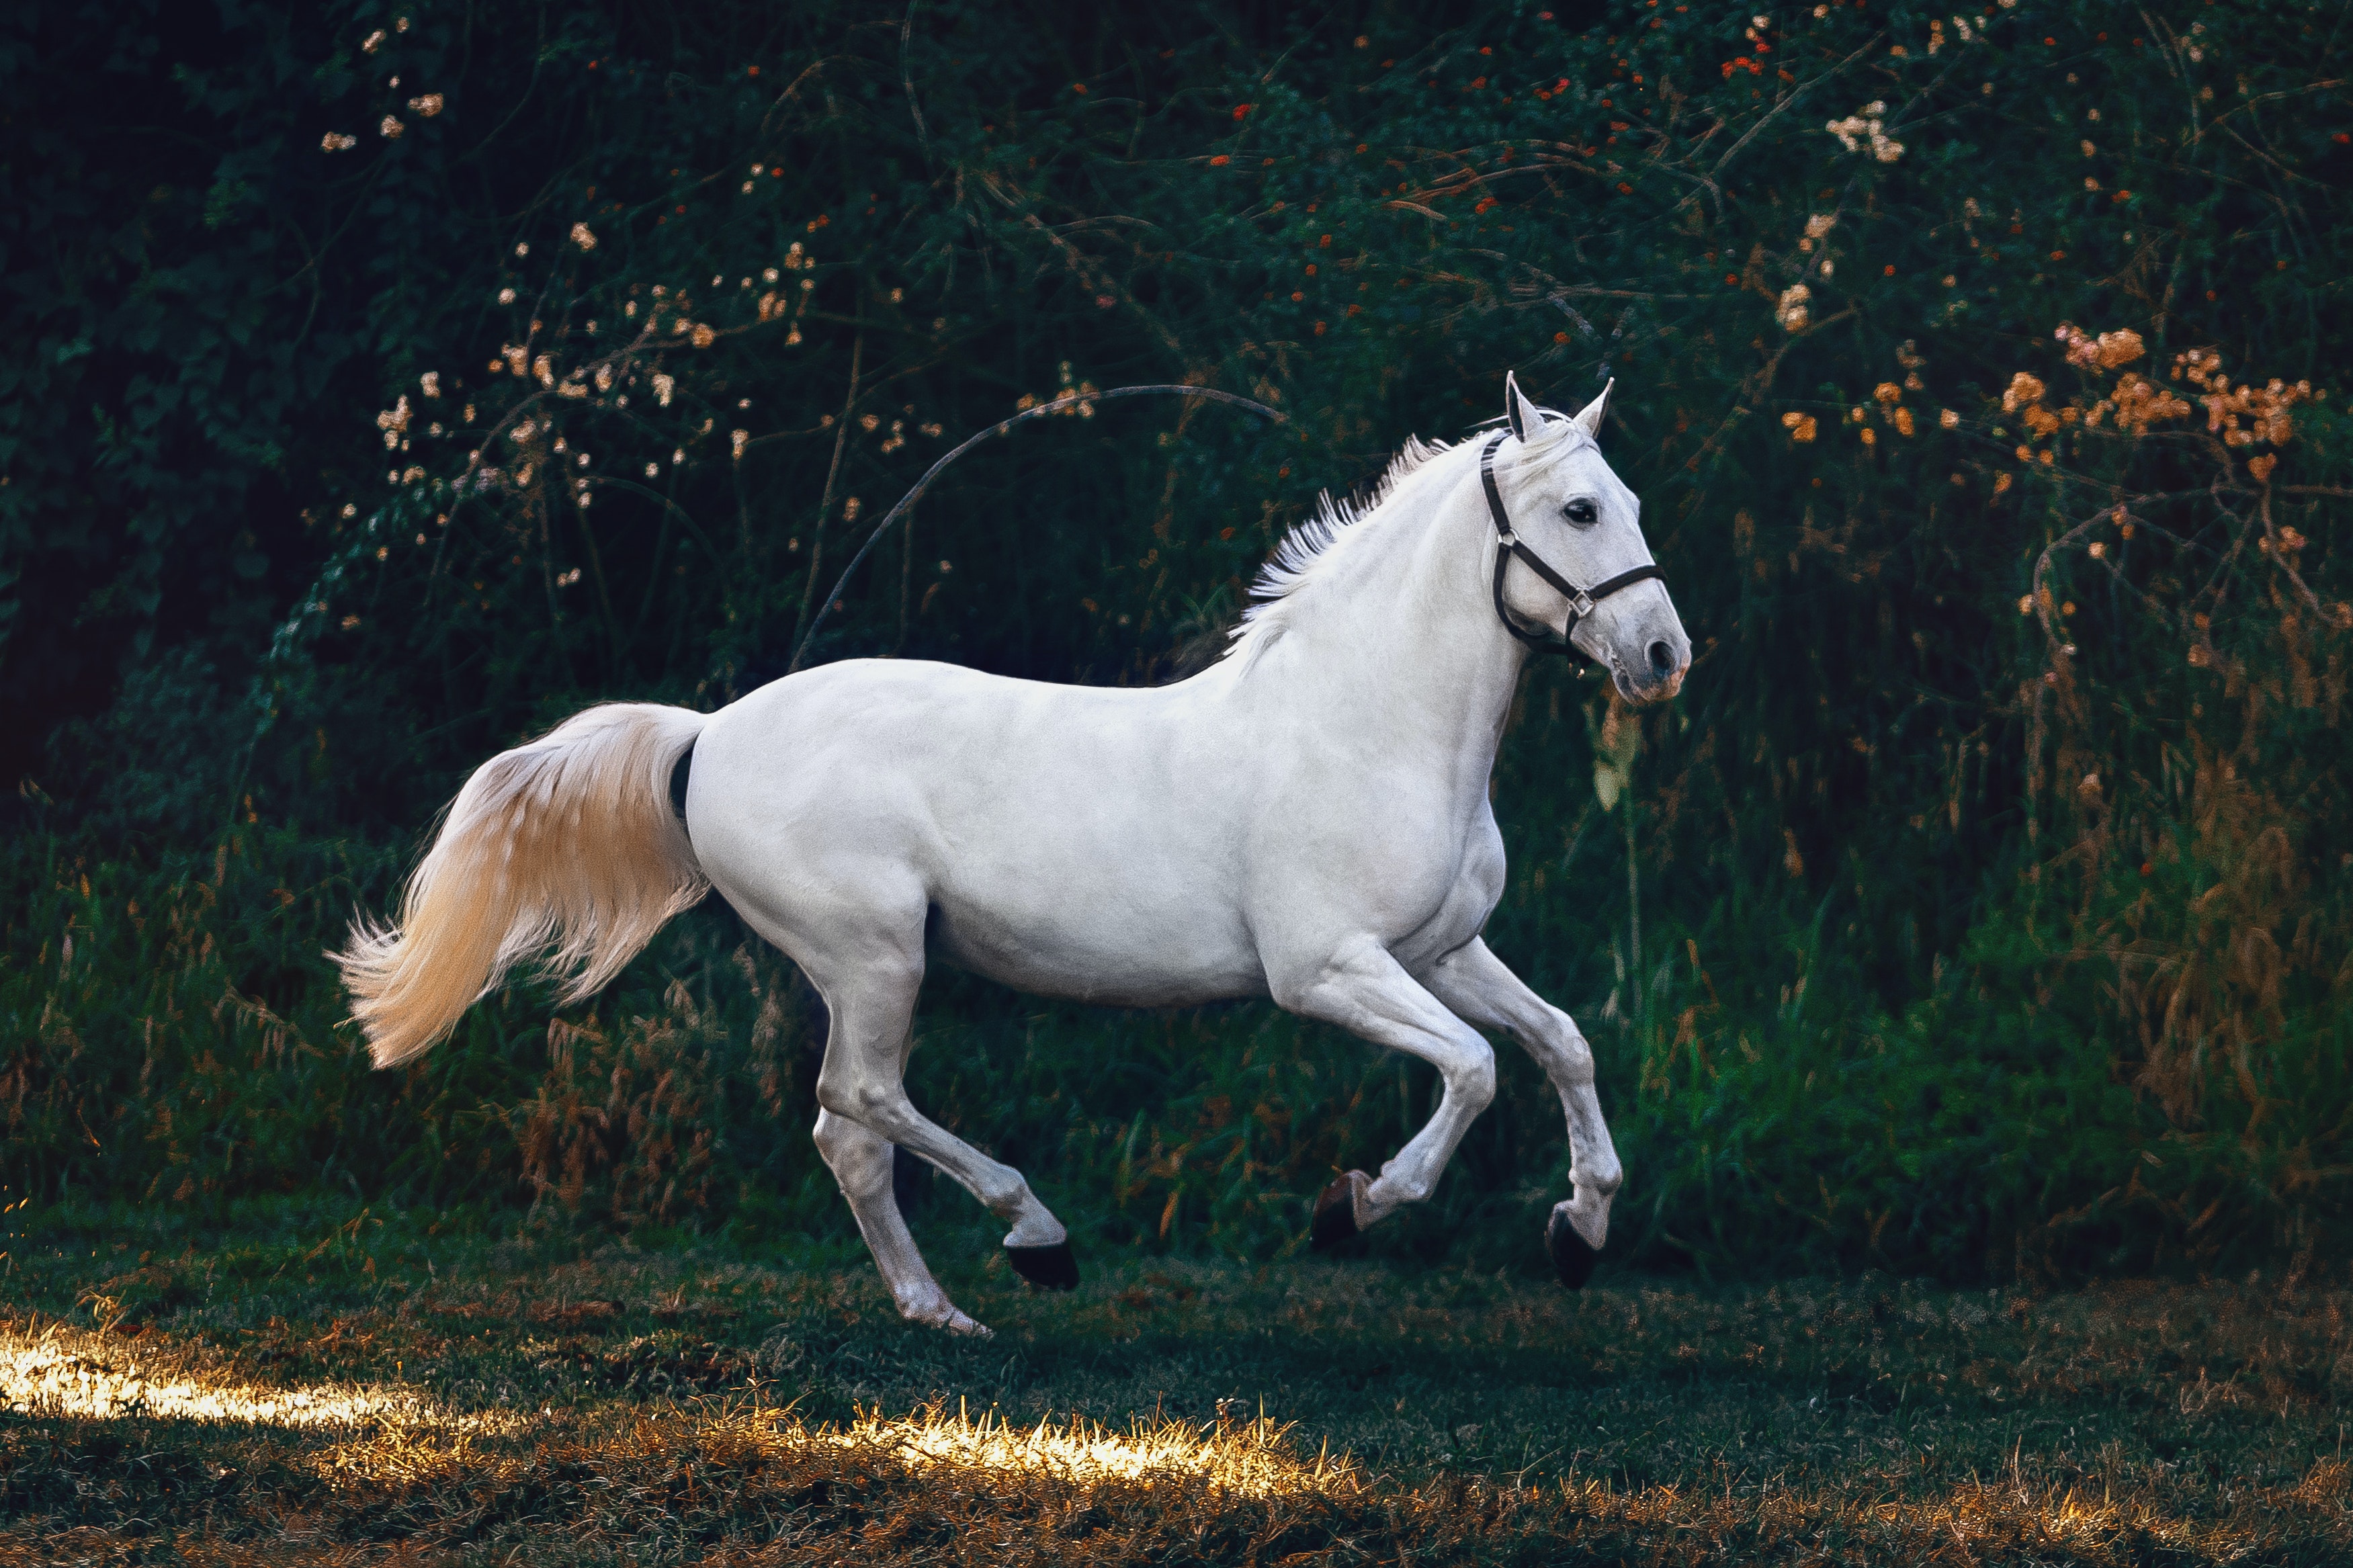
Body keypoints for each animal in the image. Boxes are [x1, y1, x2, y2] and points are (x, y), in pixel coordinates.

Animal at [341, 372, 1684, 1327]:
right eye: (1578, 509)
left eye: (1628, 502)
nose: (1663, 655)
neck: (1366, 723)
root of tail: (707, 734)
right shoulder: (1327, 970)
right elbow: (1474, 1069)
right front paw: (1352, 1207)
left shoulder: (1442, 949)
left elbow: (1560, 1042)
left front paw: (1580, 1230)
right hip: (874, 955)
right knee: (859, 1102)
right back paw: (1034, 1238)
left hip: (869, 967)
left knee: (847, 1134)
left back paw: (941, 1310)